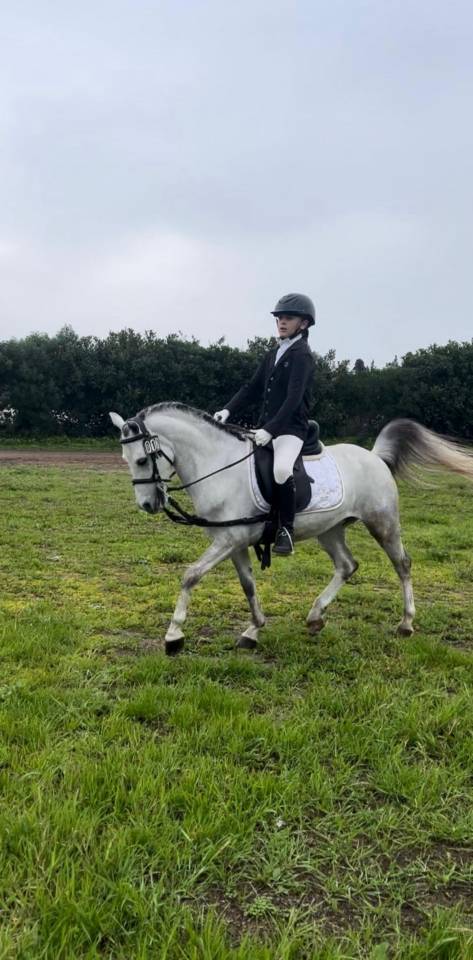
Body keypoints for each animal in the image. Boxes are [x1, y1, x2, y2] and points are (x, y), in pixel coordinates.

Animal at [109, 404, 473, 655]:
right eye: (125, 460)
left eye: (141, 460)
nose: (147, 505)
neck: (220, 468)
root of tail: (373, 456)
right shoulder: (234, 542)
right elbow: (248, 586)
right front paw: (253, 631)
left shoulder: (229, 540)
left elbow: (190, 576)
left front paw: (174, 636)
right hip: (330, 529)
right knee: (347, 565)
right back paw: (315, 617)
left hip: (382, 523)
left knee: (402, 565)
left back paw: (406, 623)